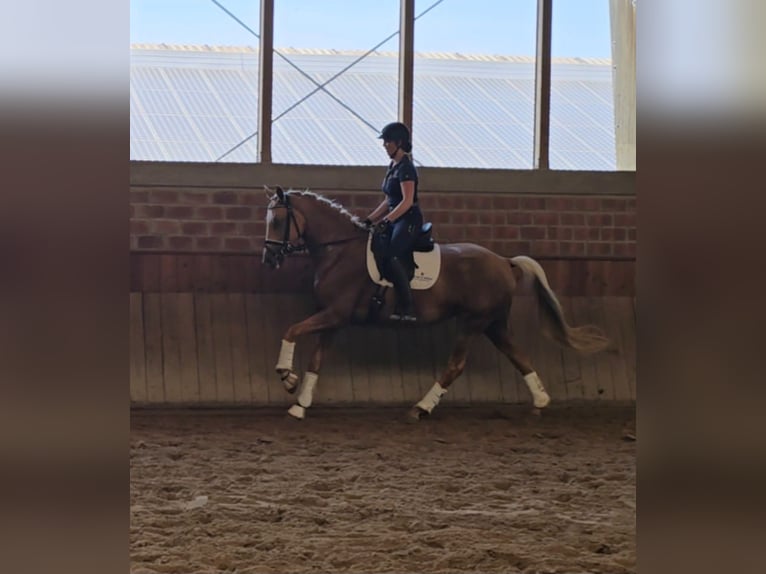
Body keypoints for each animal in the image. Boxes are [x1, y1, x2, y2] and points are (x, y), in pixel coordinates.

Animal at [264, 187, 612, 420]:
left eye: (278, 220)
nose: (269, 259)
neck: (339, 250)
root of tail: (503, 261)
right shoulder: (333, 319)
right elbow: (316, 361)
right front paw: (300, 404)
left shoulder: (335, 314)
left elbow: (291, 331)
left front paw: (286, 376)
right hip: (493, 324)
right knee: (519, 355)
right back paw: (540, 402)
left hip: (472, 322)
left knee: (456, 365)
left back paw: (421, 408)